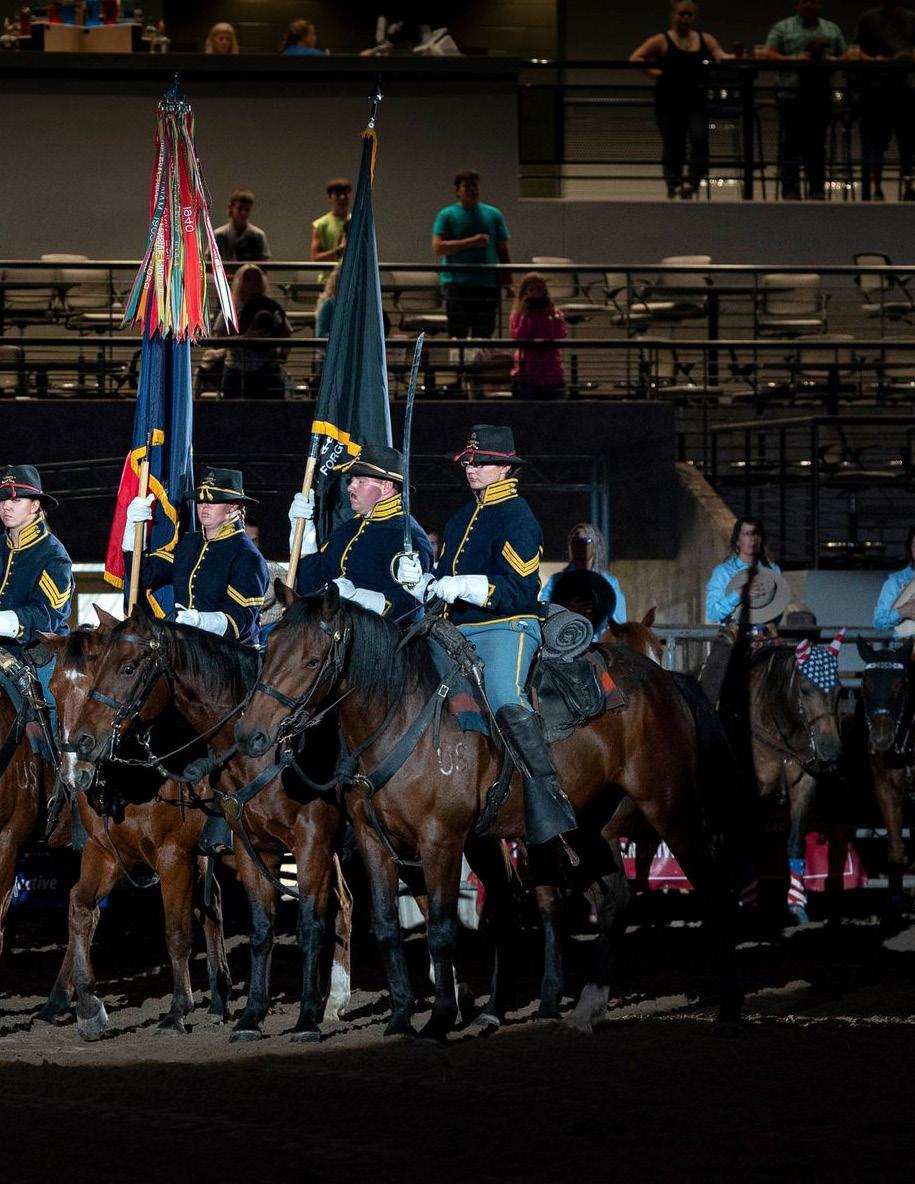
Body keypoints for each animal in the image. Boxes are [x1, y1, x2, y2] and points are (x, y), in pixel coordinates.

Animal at [63, 609, 353, 1043]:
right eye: (52, 685)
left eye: (128, 667)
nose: (81, 745)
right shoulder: (106, 853)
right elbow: (81, 908)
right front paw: (87, 1008)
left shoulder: (175, 857)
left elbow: (177, 932)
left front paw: (177, 1011)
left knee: (341, 907)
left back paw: (334, 1000)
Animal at [230, 586, 743, 1040]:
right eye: (268, 649)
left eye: (311, 660)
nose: (252, 735)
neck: (399, 715)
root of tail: (666, 680)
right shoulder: (377, 841)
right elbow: (386, 926)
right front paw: (400, 1020)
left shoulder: (441, 840)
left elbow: (441, 929)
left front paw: (438, 1021)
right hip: (587, 825)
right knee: (614, 898)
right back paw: (586, 1011)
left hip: (671, 808)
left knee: (715, 892)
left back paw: (729, 1012)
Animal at [721, 634, 845, 923]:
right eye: (805, 689)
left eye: (840, 691)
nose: (831, 749)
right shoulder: (753, 791)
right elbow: (749, 844)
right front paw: (750, 904)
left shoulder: (805, 784)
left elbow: (796, 843)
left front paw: (797, 904)